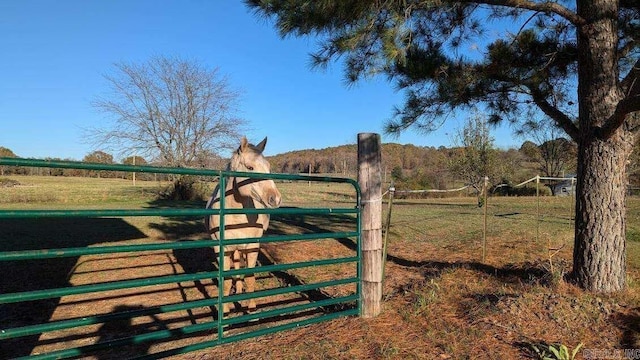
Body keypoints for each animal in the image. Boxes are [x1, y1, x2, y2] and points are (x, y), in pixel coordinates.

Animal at [204, 136, 282, 314]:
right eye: (249, 167)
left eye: (268, 167)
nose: (275, 198)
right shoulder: (222, 249)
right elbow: (225, 281)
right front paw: (225, 311)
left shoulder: (253, 246)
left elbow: (250, 278)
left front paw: (252, 310)